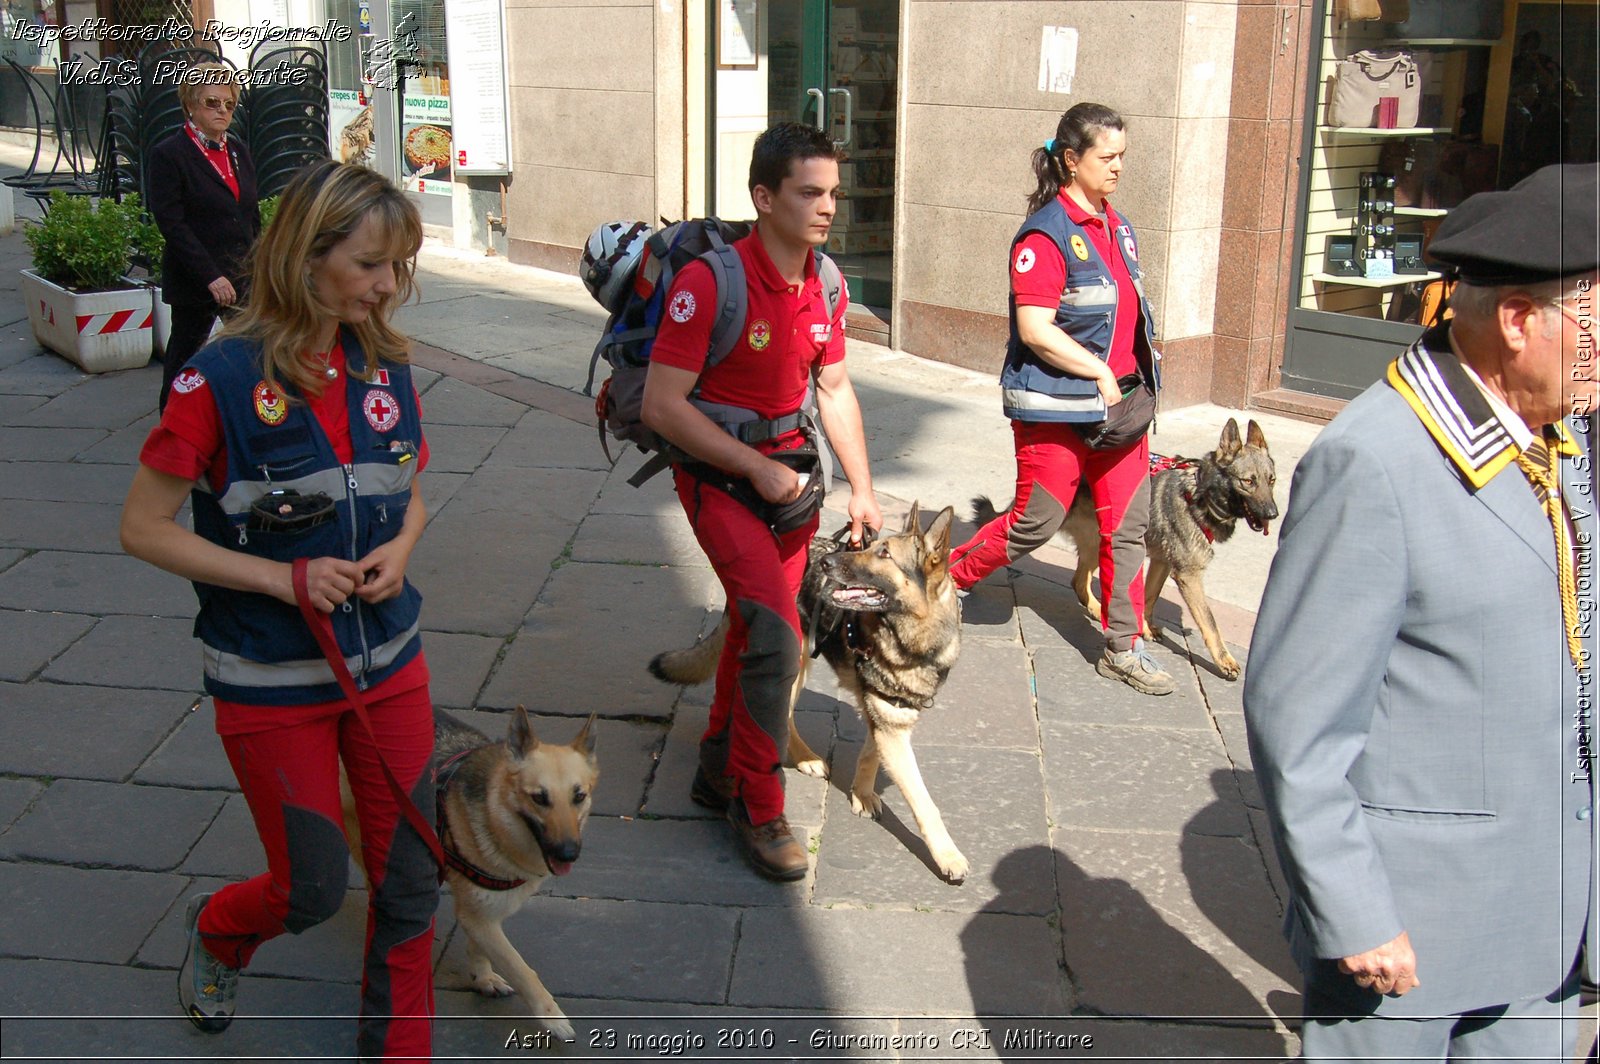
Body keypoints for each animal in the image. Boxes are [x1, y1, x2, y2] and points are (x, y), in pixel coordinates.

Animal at [340, 704, 598, 1036]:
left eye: (579, 796)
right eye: (539, 798)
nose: (569, 853)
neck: (494, 810)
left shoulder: (483, 911)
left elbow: (481, 947)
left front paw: (483, 977)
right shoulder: (479, 916)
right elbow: (521, 969)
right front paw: (552, 1016)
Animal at [646, 505, 960, 876]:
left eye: (884, 553)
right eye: (871, 547)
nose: (827, 563)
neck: (914, 636)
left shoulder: (888, 717)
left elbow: (871, 753)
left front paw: (861, 793)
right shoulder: (892, 729)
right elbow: (924, 802)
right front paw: (949, 856)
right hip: (792, 658)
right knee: (780, 712)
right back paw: (801, 758)